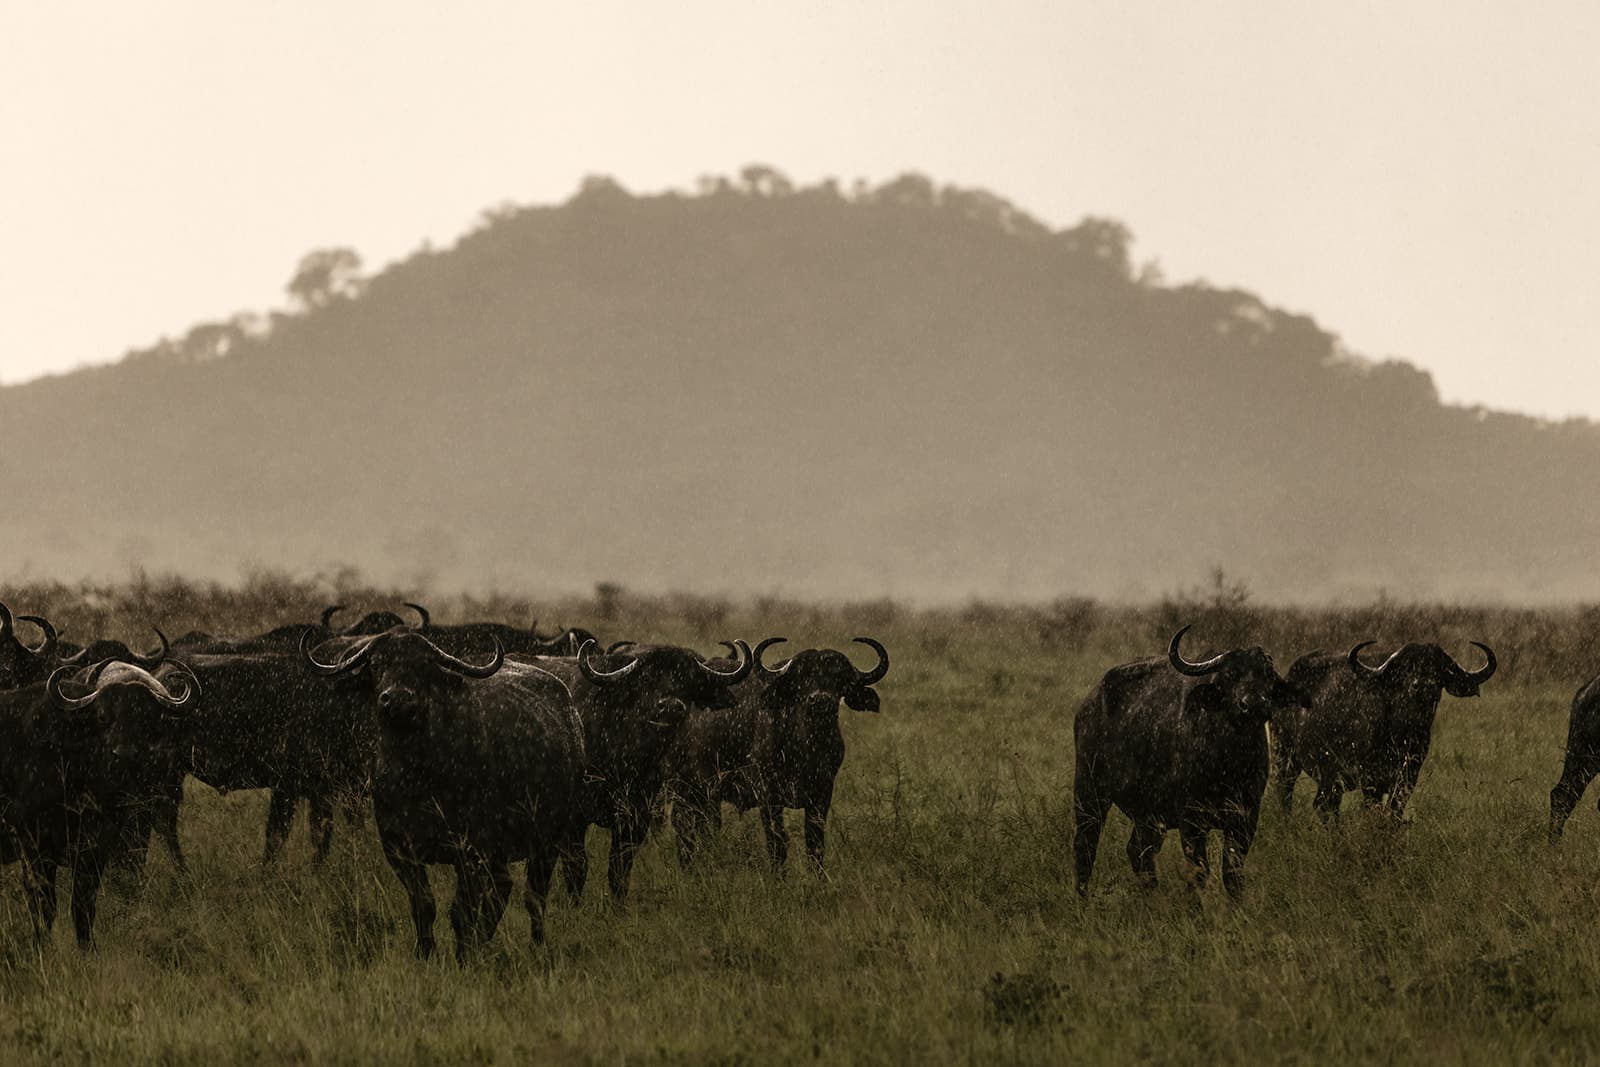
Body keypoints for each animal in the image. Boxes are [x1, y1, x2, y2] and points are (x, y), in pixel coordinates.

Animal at [0, 662, 198, 947]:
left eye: (146, 718)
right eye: (103, 717)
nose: (124, 754)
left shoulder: (96, 849)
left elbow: (83, 906)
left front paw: (88, 948)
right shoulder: (34, 846)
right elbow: (43, 905)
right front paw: (42, 946)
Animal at [302, 627, 585, 959]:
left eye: (423, 666)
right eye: (375, 664)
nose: (397, 699)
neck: (416, 775)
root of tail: (571, 716)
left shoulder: (471, 849)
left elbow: (461, 911)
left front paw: (464, 955)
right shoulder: (399, 849)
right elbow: (423, 904)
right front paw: (426, 952)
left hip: (552, 838)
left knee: (534, 896)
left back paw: (535, 945)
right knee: (502, 888)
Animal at [662, 639, 889, 870]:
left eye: (839, 679)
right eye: (802, 679)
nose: (820, 700)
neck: (807, 748)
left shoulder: (822, 794)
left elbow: (815, 845)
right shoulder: (768, 796)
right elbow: (777, 844)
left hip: (708, 795)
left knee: (707, 828)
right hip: (683, 788)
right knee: (684, 828)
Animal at [1068, 630, 1305, 908]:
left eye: (1266, 674)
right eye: (1229, 676)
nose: (1254, 704)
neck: (1231, 758)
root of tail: (1089, 704)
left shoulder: (1246, 816)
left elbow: (1232, 871)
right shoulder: (1191, 819)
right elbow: (1199, 871)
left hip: (1149, 816)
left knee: (1138, 851)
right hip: (1089, 791)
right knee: (1085, 845)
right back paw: (1083, 900)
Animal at [1267, 643, 1491, 819]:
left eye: (1438, 669)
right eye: (1405, 669)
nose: (1423, 686)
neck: (1402, 730)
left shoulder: (1408, 776)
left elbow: (1394, 813)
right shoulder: (1369, 779)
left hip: (1329, 777)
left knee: (1324, 805)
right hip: (1284, 758)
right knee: (1285, 796)